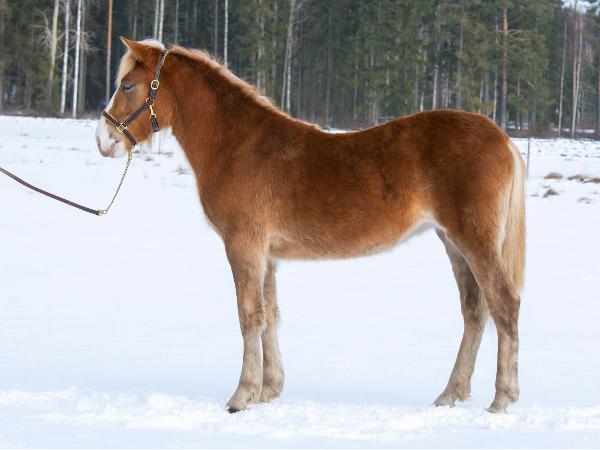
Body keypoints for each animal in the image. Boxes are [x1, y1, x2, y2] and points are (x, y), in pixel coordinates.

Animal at [96, 38, 526, 414]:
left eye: (128, 85)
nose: (104, 141)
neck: (238, 146)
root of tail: (502, 138)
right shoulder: (267, 255)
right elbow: (270, 315)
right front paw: (268, 390)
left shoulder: (243, 245)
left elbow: (249, 315)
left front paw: (241, 396)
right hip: (453, 243)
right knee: (474, 311)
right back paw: (450, 394)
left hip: (475, 240)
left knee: (504, 304)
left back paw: (501, 399)